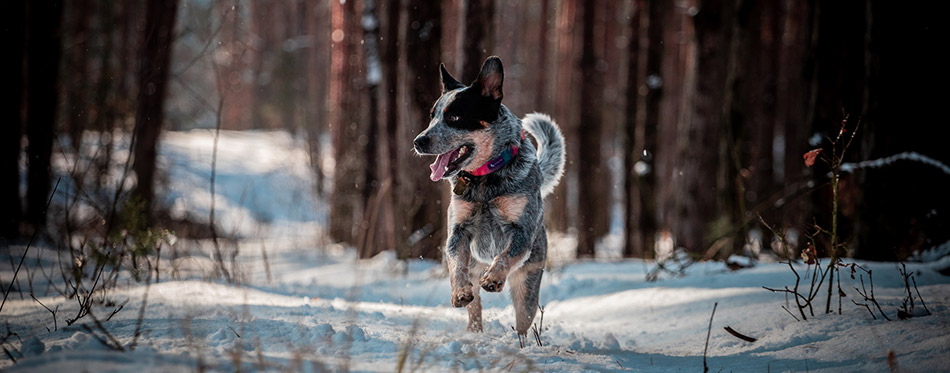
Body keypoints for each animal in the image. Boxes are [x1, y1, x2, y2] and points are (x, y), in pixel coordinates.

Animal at [410, 56, 564, 338]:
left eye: (454, 117)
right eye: (432, 117)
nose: (418, 141)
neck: (484, 180)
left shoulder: (522, 230)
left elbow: (505, 254)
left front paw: (493, 278)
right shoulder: (458, 229)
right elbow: (455, 264)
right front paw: (459, 292)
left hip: (528, 284)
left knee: (524, 321)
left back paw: (522, 344)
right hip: (475, 269)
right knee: (475, 309)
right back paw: (473, 332)